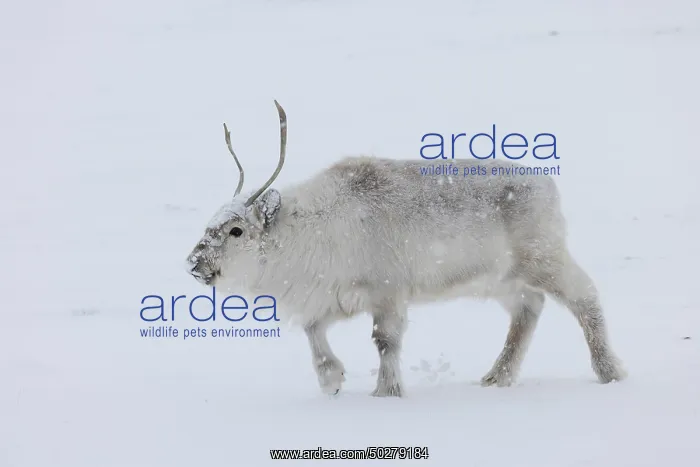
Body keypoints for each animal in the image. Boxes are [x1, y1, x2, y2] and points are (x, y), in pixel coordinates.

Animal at [185, 100, 627, 397]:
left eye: (237, 230)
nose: (193, 263)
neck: (307, 230)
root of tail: (547, 183)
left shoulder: (387, 290)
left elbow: (385, 340)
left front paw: (387, 392)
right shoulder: (333, 295)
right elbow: (314, 333)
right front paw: (332, 381)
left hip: (544, 257)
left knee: (584, 296)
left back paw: (610, 372)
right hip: (500, 280)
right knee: (528, 308)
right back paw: (496, 377)